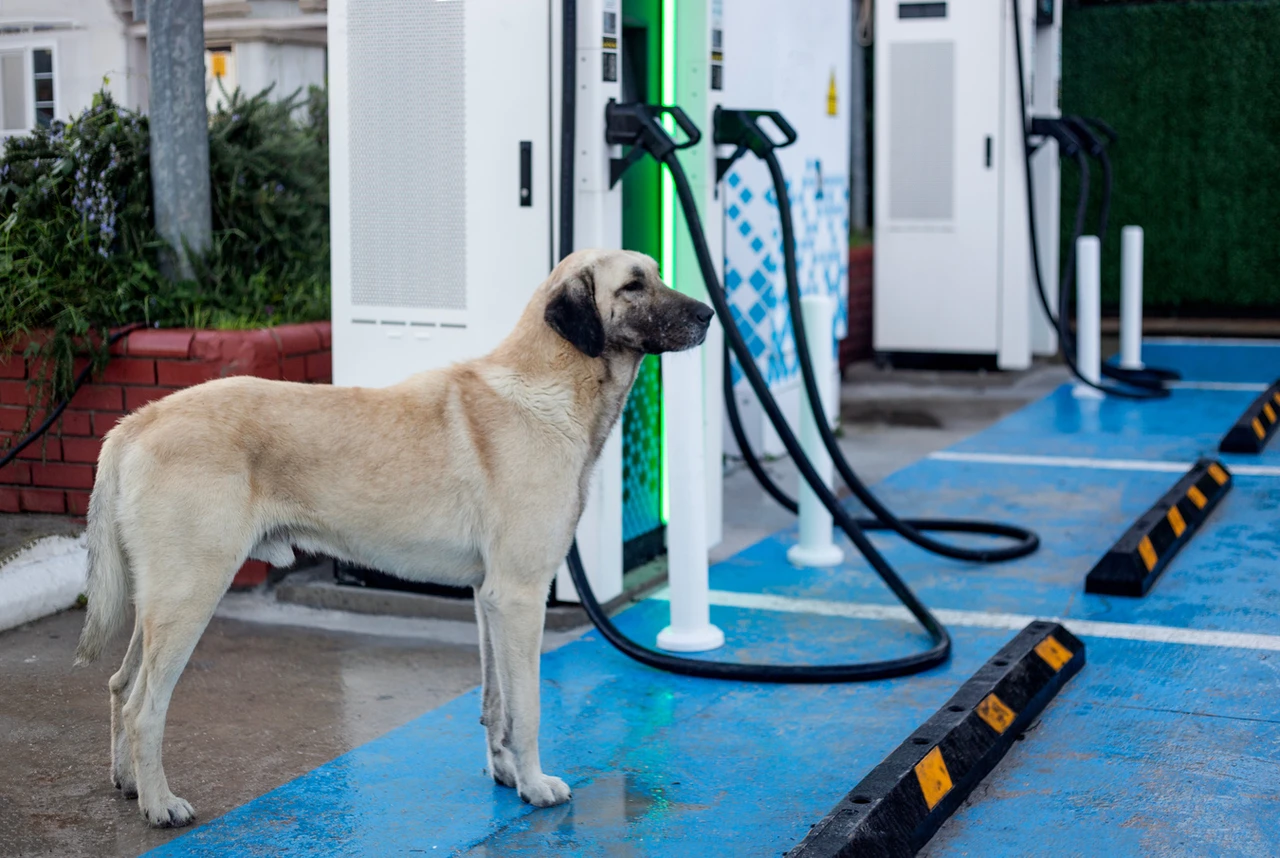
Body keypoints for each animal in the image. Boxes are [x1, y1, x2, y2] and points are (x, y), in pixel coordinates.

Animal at [74, 252, 716, 829]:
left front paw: (506, 775)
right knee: (143, 707)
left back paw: (129, 783)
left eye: (659, 273)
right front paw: (535, 786)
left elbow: (496, 705)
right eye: (634, 284)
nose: (710, 313)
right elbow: (527, 708)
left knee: (119, 685)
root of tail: (138, 420)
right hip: (190, 595)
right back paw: (161, 805)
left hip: (158, 601)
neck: (551, 383)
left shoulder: (489, 600)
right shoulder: (521, 597)